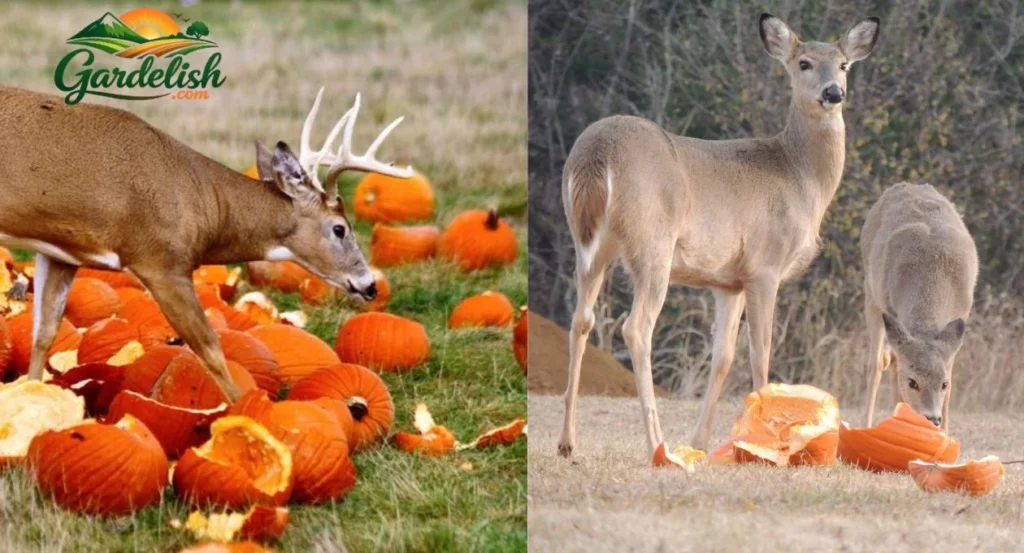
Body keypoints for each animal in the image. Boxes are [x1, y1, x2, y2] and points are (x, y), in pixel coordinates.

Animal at [0, 85, 412, 400]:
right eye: (339, 228)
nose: (369, 285)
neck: (204, 205)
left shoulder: (61, 251)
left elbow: (44, 333)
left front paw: (33, 404)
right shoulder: (161, 262)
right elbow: (210, 348)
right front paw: (247, 410)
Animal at [557, 13, 881, 459]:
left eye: (845, 64)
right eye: (804, 63)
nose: (834, 93)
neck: (800, 177)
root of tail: (595, 154)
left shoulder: (728, 281)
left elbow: (723, 357)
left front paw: (702, 442)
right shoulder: (765, 266)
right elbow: (760, 352)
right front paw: (768, 443)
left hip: (589, 245)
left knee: (581, 319)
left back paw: (567, 443)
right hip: (652, 245)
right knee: (636, 328)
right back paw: (657, 445)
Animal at [861, 183, 977, 430]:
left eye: (943, 384)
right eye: (912, 382)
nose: (932, 418)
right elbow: (893, 371)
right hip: (871, 293)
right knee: (877, 365)